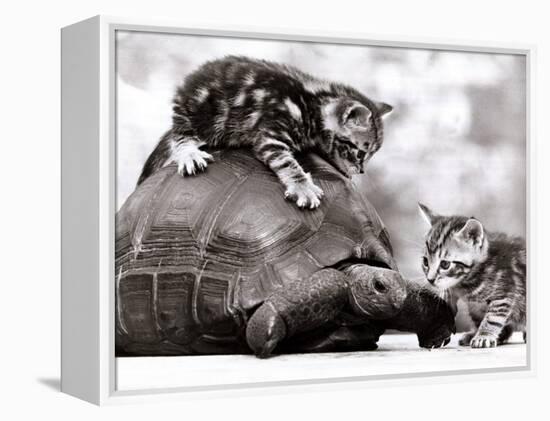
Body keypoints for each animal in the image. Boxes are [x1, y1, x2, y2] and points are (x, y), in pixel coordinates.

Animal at [140, 55, 394, 209]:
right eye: (361, 152)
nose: (361, 170)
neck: (312, 103)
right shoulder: (271, 135)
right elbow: (287, 162)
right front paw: (302, 187)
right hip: (196, 114)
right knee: (180, 136)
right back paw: (189, 152)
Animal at [420, 203, 528, 348]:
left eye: (445, 264)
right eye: (425, 262)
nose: (430, 279)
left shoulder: (505, 294)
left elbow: (492, 318)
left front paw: (483, 335)